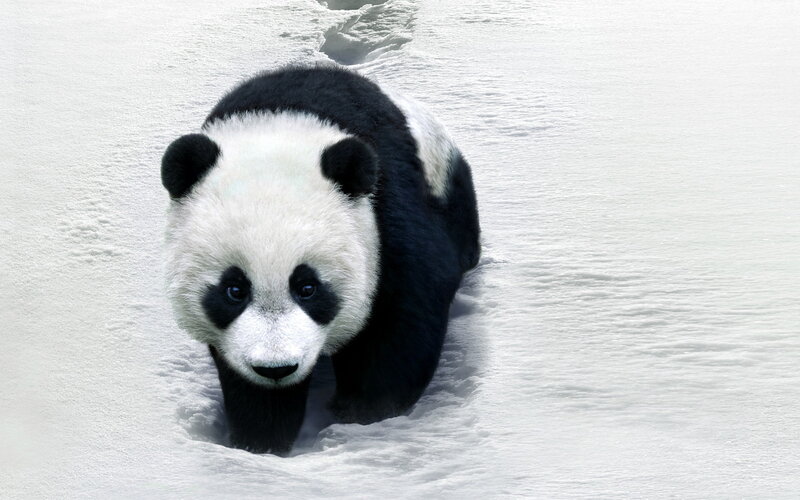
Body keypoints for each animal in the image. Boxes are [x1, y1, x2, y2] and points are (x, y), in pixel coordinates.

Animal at [161, 65, 480, 455]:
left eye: (308, 287)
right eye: (234, 290)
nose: (276, 368)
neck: (280, 124)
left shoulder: (385, 211)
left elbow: (403, 316)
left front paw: (362, 414)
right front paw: (260, 437)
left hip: (445, 180)